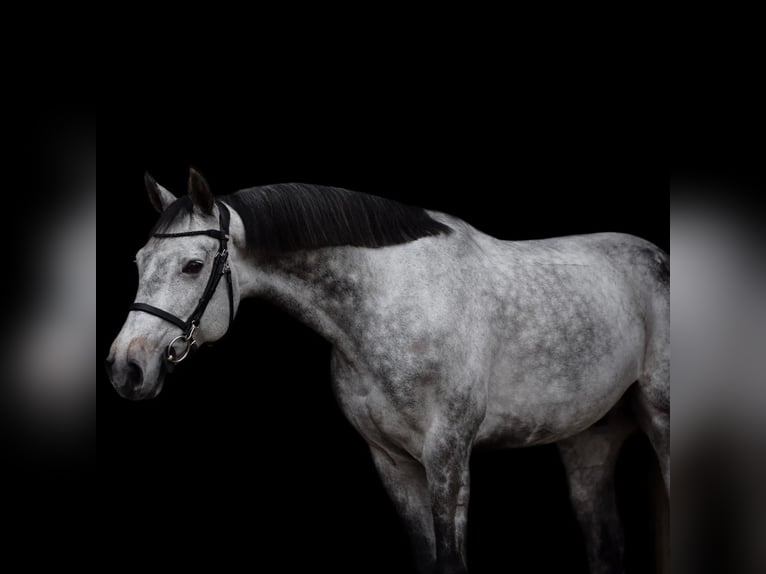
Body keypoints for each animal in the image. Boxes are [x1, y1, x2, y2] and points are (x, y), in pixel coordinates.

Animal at [105, 170, 668, 574]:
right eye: (139, 260)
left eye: (193, 265)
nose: (125, 367)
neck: (395, 299)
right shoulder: (391, 462)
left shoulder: (448, 457)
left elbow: (450, 562)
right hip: (588, 439)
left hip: (658, 421)